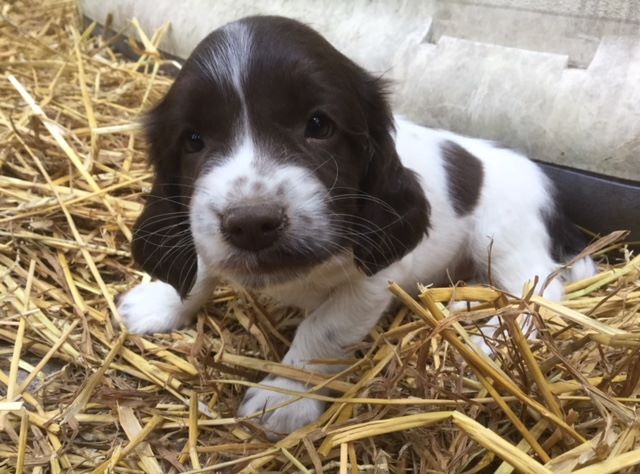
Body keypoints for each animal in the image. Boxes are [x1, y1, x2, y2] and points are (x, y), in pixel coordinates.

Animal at [117, 14, 596, 436]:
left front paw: (283, 396)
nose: (251, 224)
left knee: (537, 290)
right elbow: (199, 269)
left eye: (318, 125)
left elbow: (320, 331)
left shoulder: (371, 282)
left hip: (504, 235)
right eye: (193, 140)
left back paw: (489, 337)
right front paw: (159, 303)